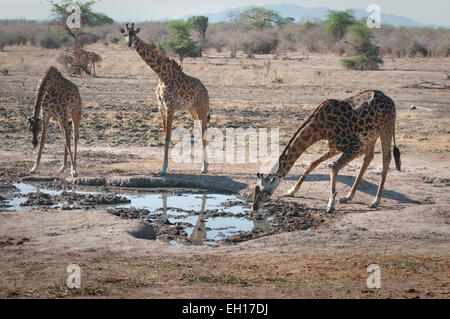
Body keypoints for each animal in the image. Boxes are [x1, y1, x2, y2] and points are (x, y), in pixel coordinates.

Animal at [120, 23, 210, 175]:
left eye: (134, 34)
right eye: (125, 34)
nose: (129, 43)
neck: (161, 74)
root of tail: (206, 91)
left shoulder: (170, 106)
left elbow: (168, 136)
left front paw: (163, 168)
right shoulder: (161, 106)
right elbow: (163, 134)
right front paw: (162, 167)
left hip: (202, 108)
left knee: (204, 132)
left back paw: (204, 167)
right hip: (192, 109)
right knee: (200, 130)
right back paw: (205, 165)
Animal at [251, 90, 402, 214]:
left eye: (263, 191)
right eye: (255, 189)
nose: (254, 207)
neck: (320, 128)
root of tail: (391, 100)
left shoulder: (356, 146)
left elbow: (333, 167)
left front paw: (330, 205)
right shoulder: (334, 147)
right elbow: (312, 164)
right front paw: (291, 191)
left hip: (386, 127)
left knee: (386, 158)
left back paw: (375, 201)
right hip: (371, 135)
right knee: (368, 158)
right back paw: (348, 197)